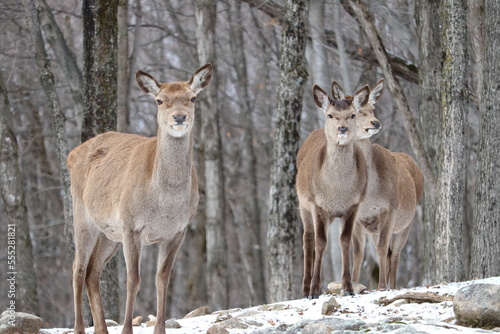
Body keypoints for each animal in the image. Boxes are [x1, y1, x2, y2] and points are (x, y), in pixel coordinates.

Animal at [67, 63, 212, 334]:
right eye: (159, 100)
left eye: (192, 98)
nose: (179, 117)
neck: (165, 203)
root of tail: (72, 153)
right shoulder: (132, 225)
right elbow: (133, 279)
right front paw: (126, 329)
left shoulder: (177, 231)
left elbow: (162, 278)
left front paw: (160, 329)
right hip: (83, 215)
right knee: (78, 268)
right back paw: (79, 328)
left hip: (110, 233)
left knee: (93, 271)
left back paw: (101, 329)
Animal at [296, 83, 372, 298]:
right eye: (330, 115)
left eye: (353, 114)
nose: (342, 128)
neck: (337, 191)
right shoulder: (317, 204)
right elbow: (321, 242)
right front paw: (314, 289)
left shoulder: (354, 205)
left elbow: (345, 241)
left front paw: (348, 287)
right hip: (303, 204)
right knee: (308, 239)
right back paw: (305, 288)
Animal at [334, 80, 424, 290]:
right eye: (356, 111)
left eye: (372, 109)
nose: (375, 123)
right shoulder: (357, 217)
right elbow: (358, 252)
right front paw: (354, 284)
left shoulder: (389, 210)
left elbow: (383, 249)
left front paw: (382, 286)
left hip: (406, 223)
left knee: (395, 254)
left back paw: (392, 285)